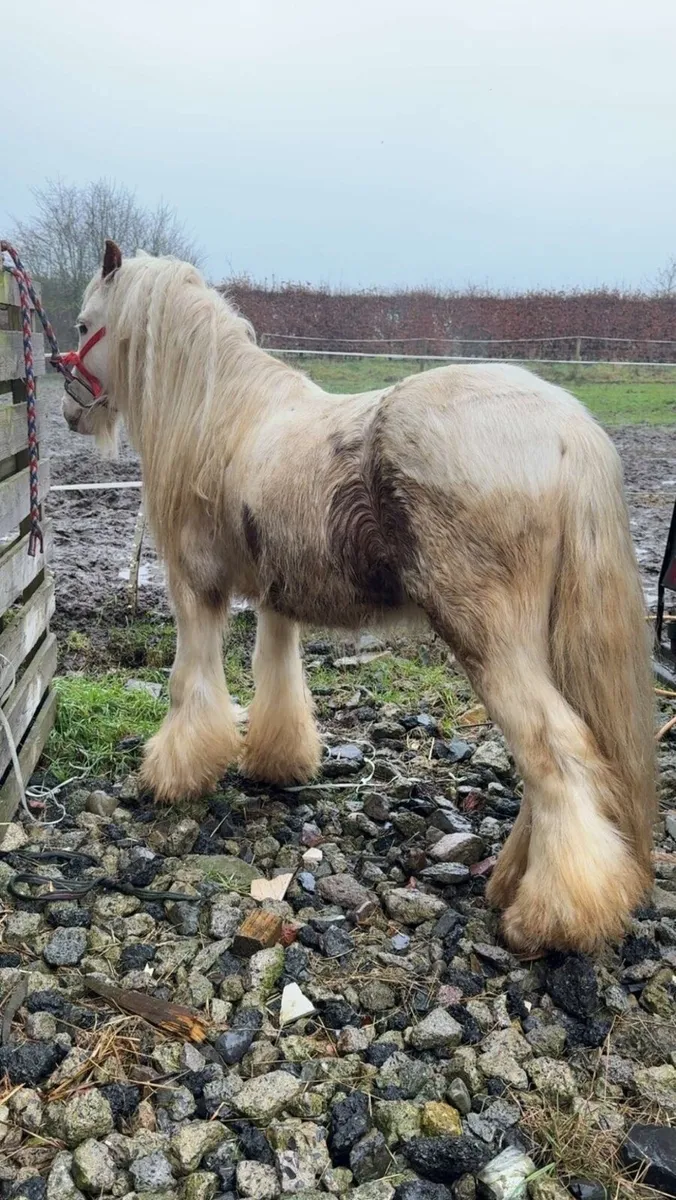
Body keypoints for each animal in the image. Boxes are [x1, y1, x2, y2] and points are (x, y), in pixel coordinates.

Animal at [61, 239, 656, 954]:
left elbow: (190, 685)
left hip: (490, 639)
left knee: (555, 753)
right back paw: (514, 880)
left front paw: (173, 775)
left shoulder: (196, 591)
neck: (223, 414)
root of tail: (569, 430)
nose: (68, 409)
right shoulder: (277, 596)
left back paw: (555, 914)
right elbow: (277, 677)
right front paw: (277, 762)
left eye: (84, 325)